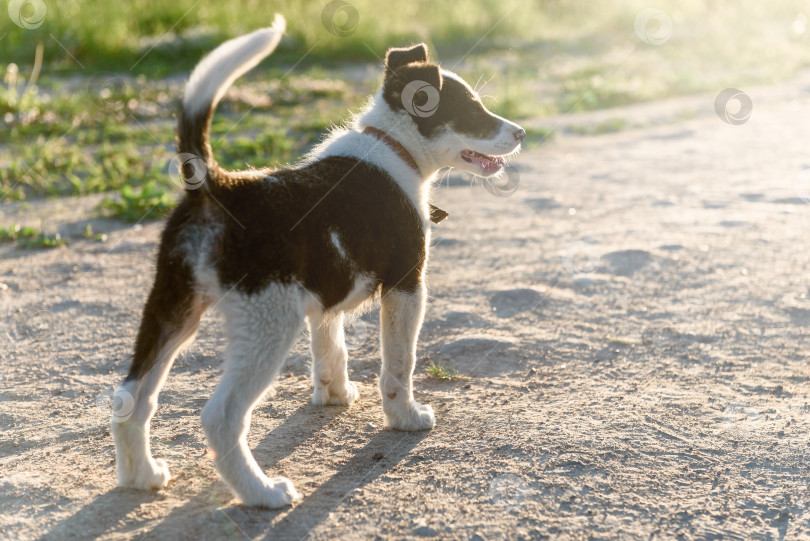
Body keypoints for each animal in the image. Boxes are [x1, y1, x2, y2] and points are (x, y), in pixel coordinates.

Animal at [110, 14, 520, 508]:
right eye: (473, 110)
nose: (520, 133)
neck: (393, 146)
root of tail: (218, 188)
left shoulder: (327, 294)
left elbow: (331, 347)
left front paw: (335, 394)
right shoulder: (407, 286)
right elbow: (400, 361)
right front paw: (404, 416)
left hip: (171, 309)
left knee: (131, 396)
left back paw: (141, 477)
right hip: (267, 323)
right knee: (221, 416)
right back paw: (263, 492)